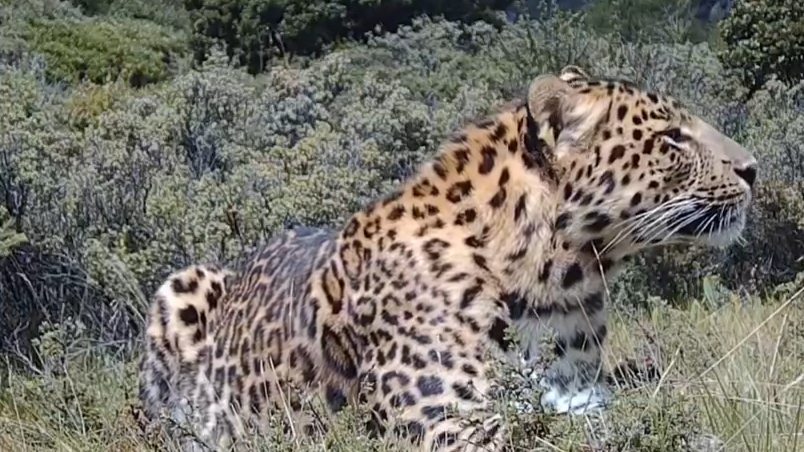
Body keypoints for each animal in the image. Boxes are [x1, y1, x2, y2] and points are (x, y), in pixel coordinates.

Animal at [137, 65, 757, 451]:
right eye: (672, 137)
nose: (753, 168)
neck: (560, 282)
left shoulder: (581, 395)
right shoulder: (450, 426)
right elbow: (564, 438)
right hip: (181, 286)